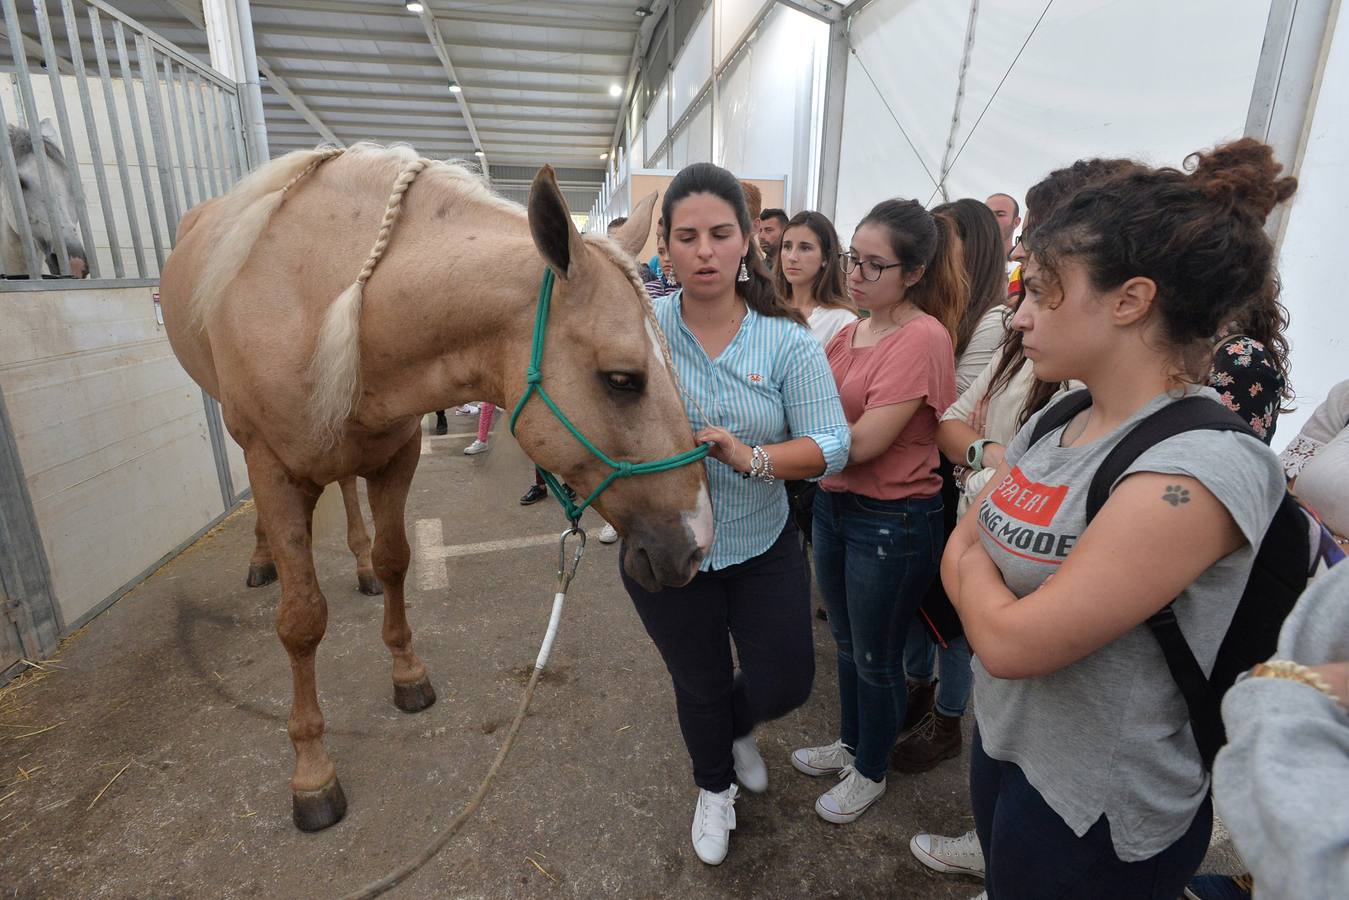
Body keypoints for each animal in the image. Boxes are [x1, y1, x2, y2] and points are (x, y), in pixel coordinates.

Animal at [160, 146, 717, 831]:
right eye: (622, 379)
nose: (697, 541)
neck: (332, 295)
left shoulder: (397, 451)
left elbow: (396, 561)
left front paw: (407, 674)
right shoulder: (274, 467)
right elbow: (301, 620)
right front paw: (312, 773)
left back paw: (356, 564)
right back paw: (264, 558)